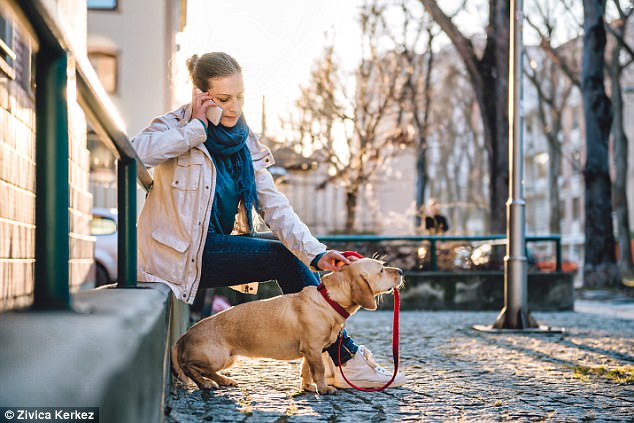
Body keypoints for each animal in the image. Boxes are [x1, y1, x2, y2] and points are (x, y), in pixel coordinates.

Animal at [170, 258, 402, 394]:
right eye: (381, 270)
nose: (401, 270)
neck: (328, 300)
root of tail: (184, 336)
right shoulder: (313, 348)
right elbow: (318, 370)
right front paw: (324, 388)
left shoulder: (311, 350)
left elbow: (306, 369)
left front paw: (308, 387)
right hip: (216, 357)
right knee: (190, 367)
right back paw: (205, 384)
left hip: (229, 360)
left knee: (205, 371)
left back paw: (224, 381)